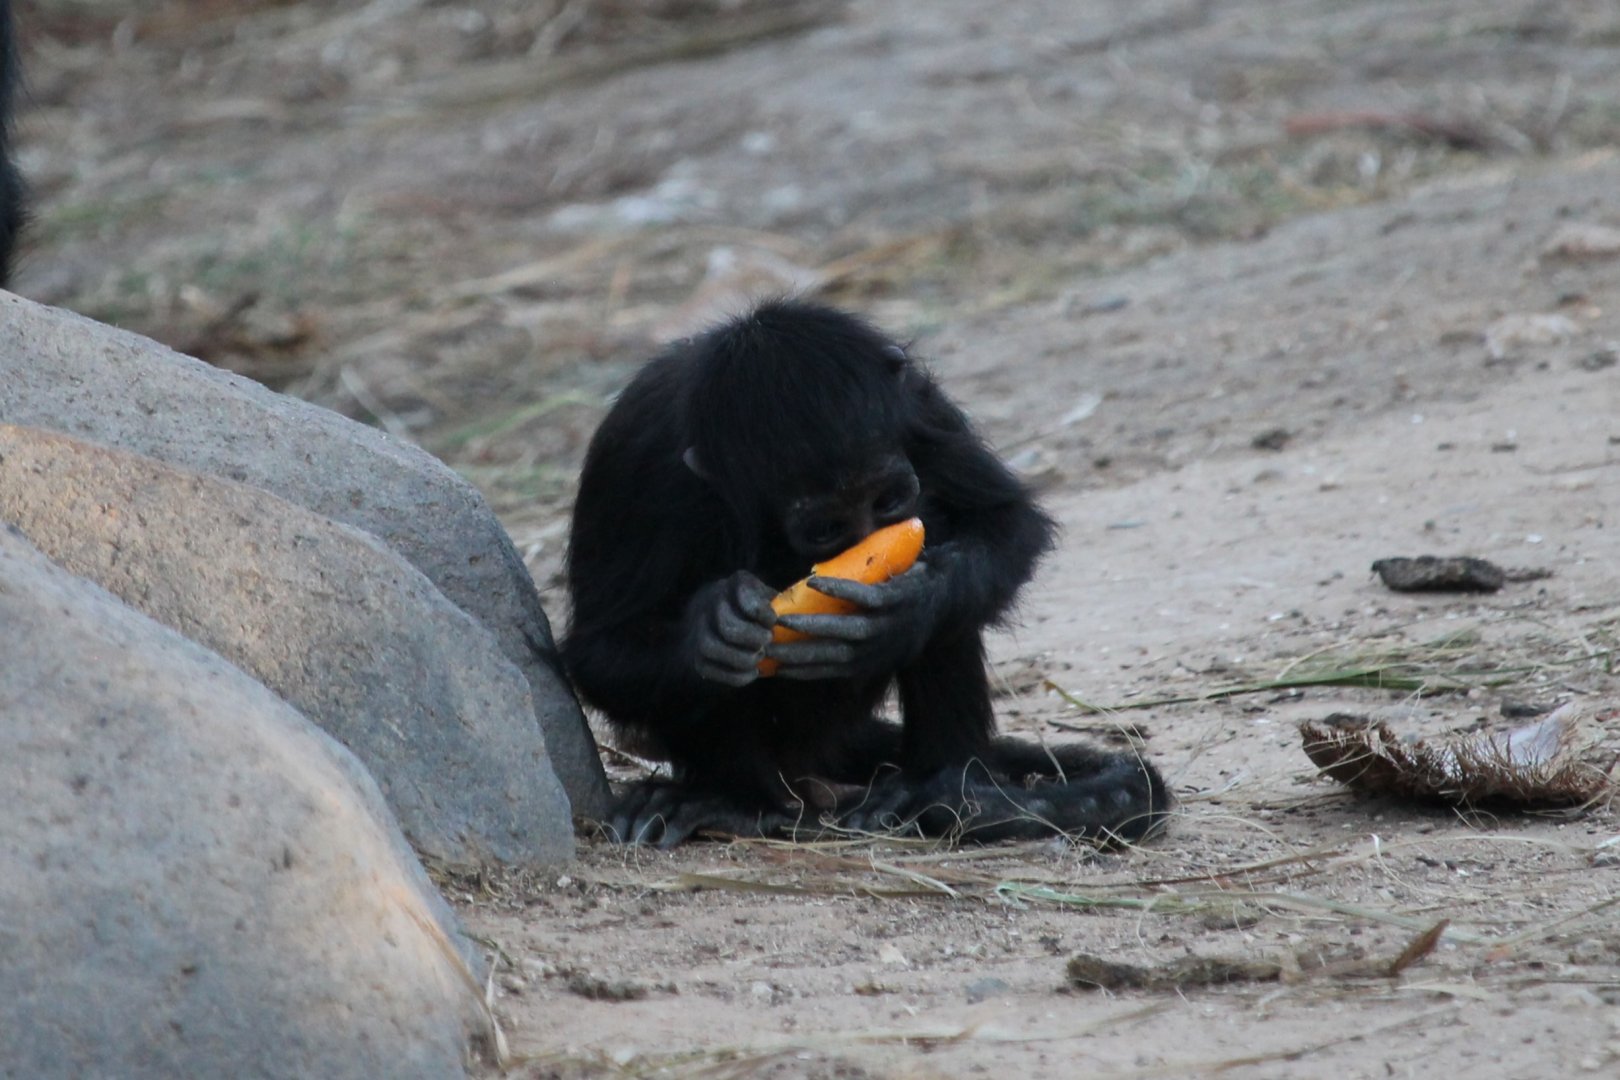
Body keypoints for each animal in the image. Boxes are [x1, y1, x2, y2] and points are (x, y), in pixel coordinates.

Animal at [561, 299, 1169, 847]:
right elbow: (599, 654)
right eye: (826, 529)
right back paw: (736, 801)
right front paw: (710, 630)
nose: (868, 548)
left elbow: (1004, 522)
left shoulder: (919, 403)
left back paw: (939, 786)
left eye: (889, 501)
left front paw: (912, 608)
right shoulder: (638, 458)